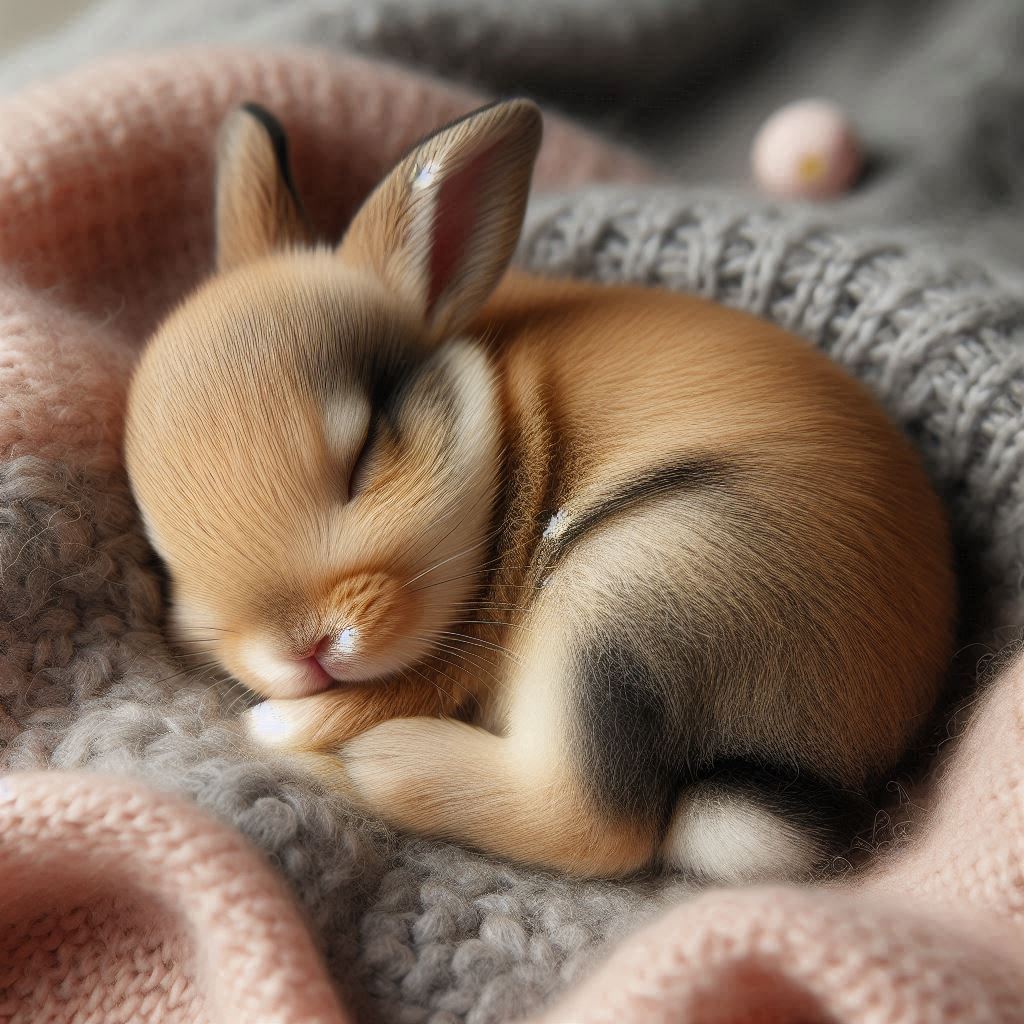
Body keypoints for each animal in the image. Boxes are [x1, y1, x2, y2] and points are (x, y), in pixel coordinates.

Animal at [124, 98, 956, 883]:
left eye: (365, 455)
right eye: (165, 555)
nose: (304, 650)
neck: (498, 422)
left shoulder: (462, 647)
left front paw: (282, 725)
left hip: (623, 594)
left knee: (593, 822)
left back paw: (377, 760)